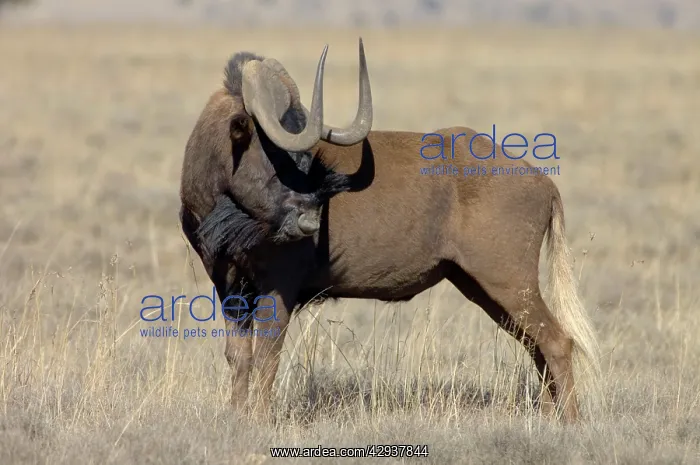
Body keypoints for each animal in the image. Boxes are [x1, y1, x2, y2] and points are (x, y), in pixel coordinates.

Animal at [179, 38, 602, 423]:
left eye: (305, 158)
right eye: (273, 158)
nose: (309, 222)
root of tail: (541, 180)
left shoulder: (277, 287)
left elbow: (267, 354)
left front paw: (259, 420)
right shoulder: (230, 288)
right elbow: (239, 356)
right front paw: (236, 416)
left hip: (509, 283)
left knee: (557, 341)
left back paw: (570, 422)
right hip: (482, 287)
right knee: (536, 345)